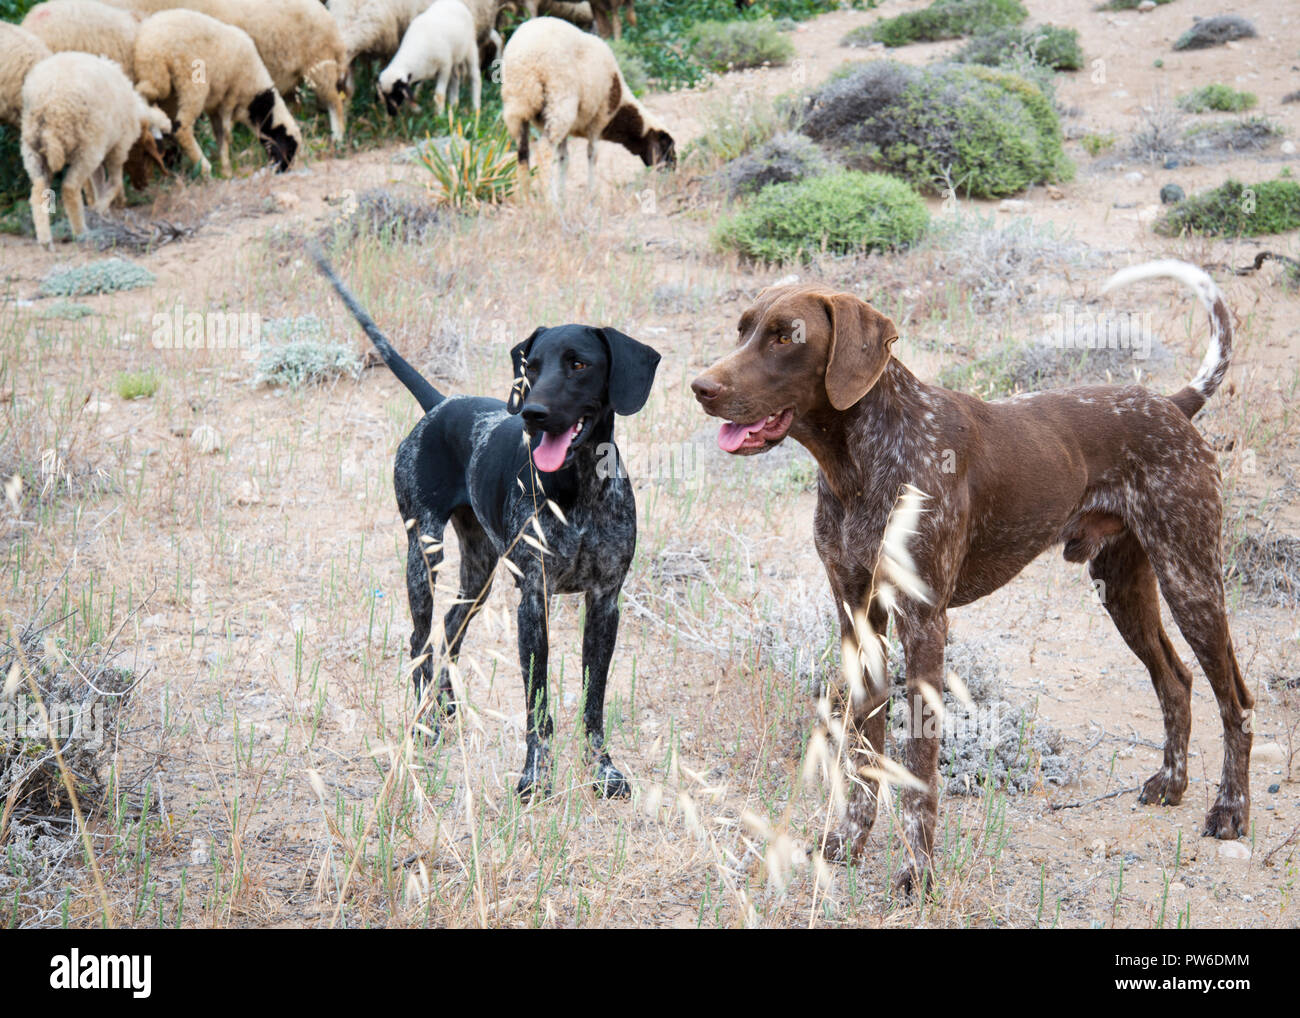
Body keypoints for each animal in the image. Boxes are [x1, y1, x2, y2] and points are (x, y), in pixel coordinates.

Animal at [20, 53, 171, 247]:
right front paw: (99, 209)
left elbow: (99, 182)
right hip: (86, 149)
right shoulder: (118, 149)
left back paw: (45, 240)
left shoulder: (102, 151)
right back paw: (81, 231)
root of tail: (49, 105)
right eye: (146, 156)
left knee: (38, 191)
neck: (138, 114)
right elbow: (115, 183)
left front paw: (103, 212)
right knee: (69, 188)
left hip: (33, 150)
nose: (143, 184)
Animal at [133, 8, 301, 176]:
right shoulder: (230, 97)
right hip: (191, 84)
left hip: (155, 74)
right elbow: (226, 134)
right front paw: (225, 169)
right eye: (290, 147)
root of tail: (155, 40)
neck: (256, 97)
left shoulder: (215, 107)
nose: (285, 169)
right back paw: (204, 168)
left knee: (146, 91)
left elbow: (220, 135)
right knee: (182, 127)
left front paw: (226, 170)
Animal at [312, 252, 660, 795]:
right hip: (423, 556)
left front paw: (602, 768)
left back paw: (447, 704)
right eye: (530, 368)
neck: (578, 489)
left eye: (579, 364)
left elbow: (594, 699)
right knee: (419, 639)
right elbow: (537, 702)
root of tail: (439, 404)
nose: (533, 414)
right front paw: (535, 776)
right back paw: (426, 722)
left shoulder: (605, 601)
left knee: (449, 629)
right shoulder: (533, 600)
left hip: (479, 573)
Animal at [499, 16, 676, 204]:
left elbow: (564, 159)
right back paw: (549, 201)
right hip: (559, 103)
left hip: (517, 107)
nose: (673, 169)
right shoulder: (598, 118)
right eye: (667, 146)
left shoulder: (569, 130)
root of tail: (525, 58)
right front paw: (591, 196)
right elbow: (592, 155)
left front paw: (563, 198)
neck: (620, 108)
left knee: (523, 154)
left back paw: (527, 201)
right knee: (544, 153)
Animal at [696, 262, 1253, 894]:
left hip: (1190, 579)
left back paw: (1230, 810)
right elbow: (862, 755)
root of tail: (1173, 404)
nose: (700, 386)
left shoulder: (923, 624)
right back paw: (1172, 783)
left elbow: (918, 768)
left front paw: (918, 873)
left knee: (1235, 701)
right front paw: (847, 843)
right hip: (1124, 588)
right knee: (1176, 681)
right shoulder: (857, 618)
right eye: (743, 329)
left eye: (787, 337)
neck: (860, 462)